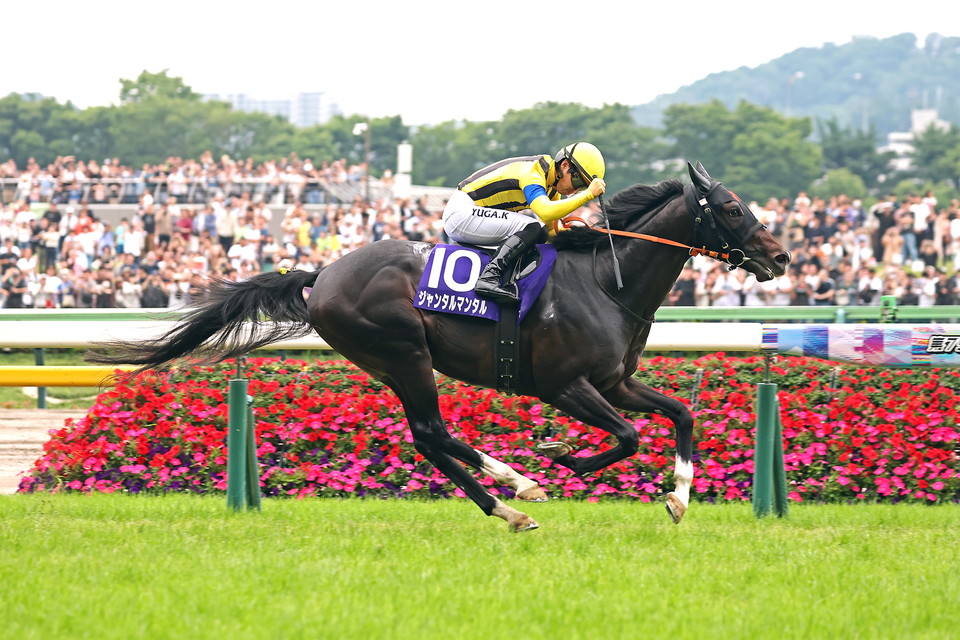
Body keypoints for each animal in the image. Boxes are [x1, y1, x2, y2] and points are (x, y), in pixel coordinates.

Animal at [88, 162, 790, 532]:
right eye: (731, 208)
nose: (781, 257)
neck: (604, 280)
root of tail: (323, 274)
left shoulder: (615, 380)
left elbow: (681, 414)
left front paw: (678, 496)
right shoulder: (566, 385)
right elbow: (627, 436)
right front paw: (563, 458)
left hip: (392, 362)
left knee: (428, 437)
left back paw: (505, 505)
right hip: (404, 353)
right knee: (431, 430)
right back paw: (519, 486)